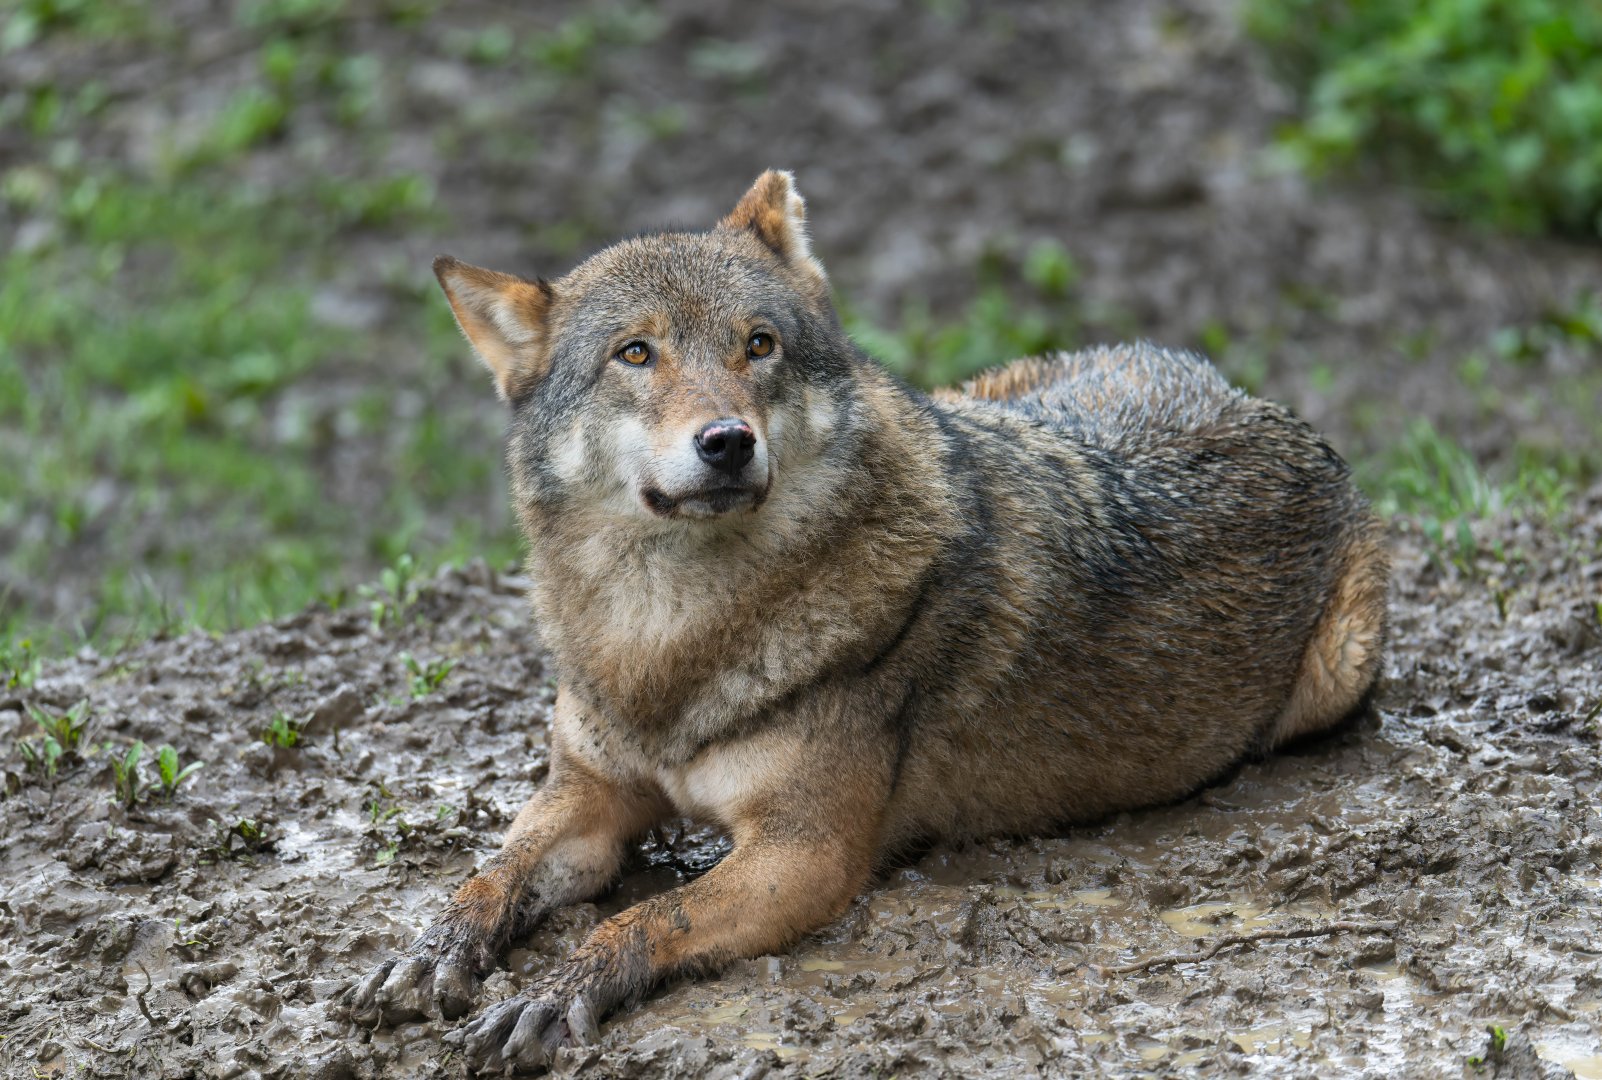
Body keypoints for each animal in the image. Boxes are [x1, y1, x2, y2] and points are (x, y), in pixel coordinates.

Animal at [347, 171, 1389, 1072]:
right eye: (635, 354)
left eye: (759, 345)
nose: (726, 443)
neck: (667, 640)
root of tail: (1249, 393)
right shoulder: (588, 795)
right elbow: (493, 871)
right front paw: (429, 949)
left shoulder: (804, 852)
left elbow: (645, 918)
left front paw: (553, 990)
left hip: (1338, 672)